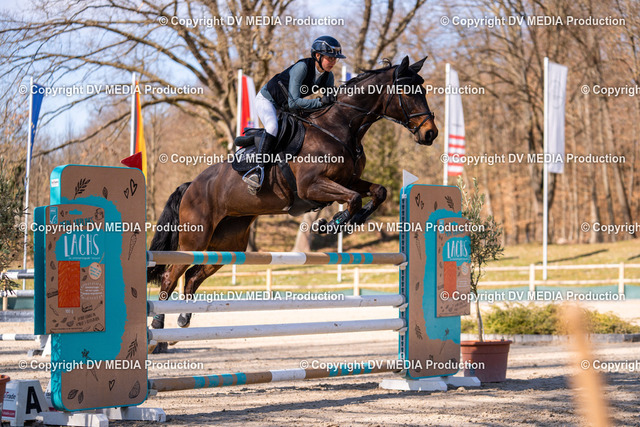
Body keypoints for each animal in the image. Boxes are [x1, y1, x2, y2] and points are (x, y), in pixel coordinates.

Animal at [147, 55, 438, 344]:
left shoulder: (348, 180)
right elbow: (353, 198)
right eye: (408, 92)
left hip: (228, 243)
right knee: (171, 274)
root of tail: (191, 185)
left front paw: (352, 220)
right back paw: (159, 325)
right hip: (195, 237)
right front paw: (331, 223)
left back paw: (183, 320)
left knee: (193, 276)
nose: (430, 134)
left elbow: (378, 192)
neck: (340, 127)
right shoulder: (311, 187)